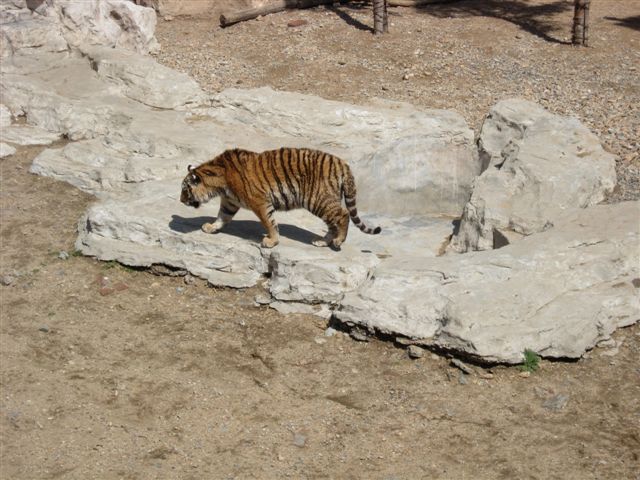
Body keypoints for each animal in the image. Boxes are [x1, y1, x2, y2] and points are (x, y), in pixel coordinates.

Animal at [180, 147, 381, 249]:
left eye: (185, 190)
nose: (181, 201)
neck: (219, 182)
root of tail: (343, 164)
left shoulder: (260, 202)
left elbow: (269, 222)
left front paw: (272, 241)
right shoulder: (229, 202)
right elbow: (222, 217)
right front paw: (211, 227)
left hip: (319, 200)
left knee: (344, 214)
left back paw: (339, 241)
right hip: (323, 203)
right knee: (333, 222)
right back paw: (322, 241)